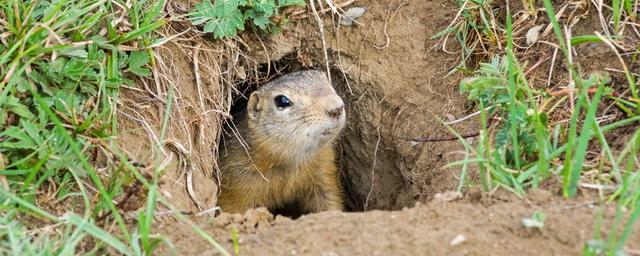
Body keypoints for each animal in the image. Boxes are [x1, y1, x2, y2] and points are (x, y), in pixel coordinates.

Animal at [216, 69, 348, 214]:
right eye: (282, 101)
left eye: (326, 79)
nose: (336, 108)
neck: (292, 160)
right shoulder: (236, 187)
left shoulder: (324, 172)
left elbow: (329, 199)